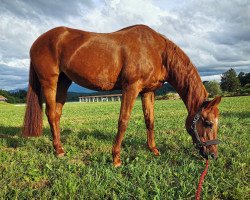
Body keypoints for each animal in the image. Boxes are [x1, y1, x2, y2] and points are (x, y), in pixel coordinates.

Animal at [23, 24, 221, 166]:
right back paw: (58, 151)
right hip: (49, 81)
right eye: (208, 123)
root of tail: (36, 42)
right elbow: (123, 121)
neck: (156, 50)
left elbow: (150, 120)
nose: (213, 155)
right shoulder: (131, 88)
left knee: (56, 115)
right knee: (50, 113)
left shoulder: (148, 91)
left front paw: (154, 150)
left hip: (64, 82)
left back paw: (61, 147)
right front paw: (116, 158)